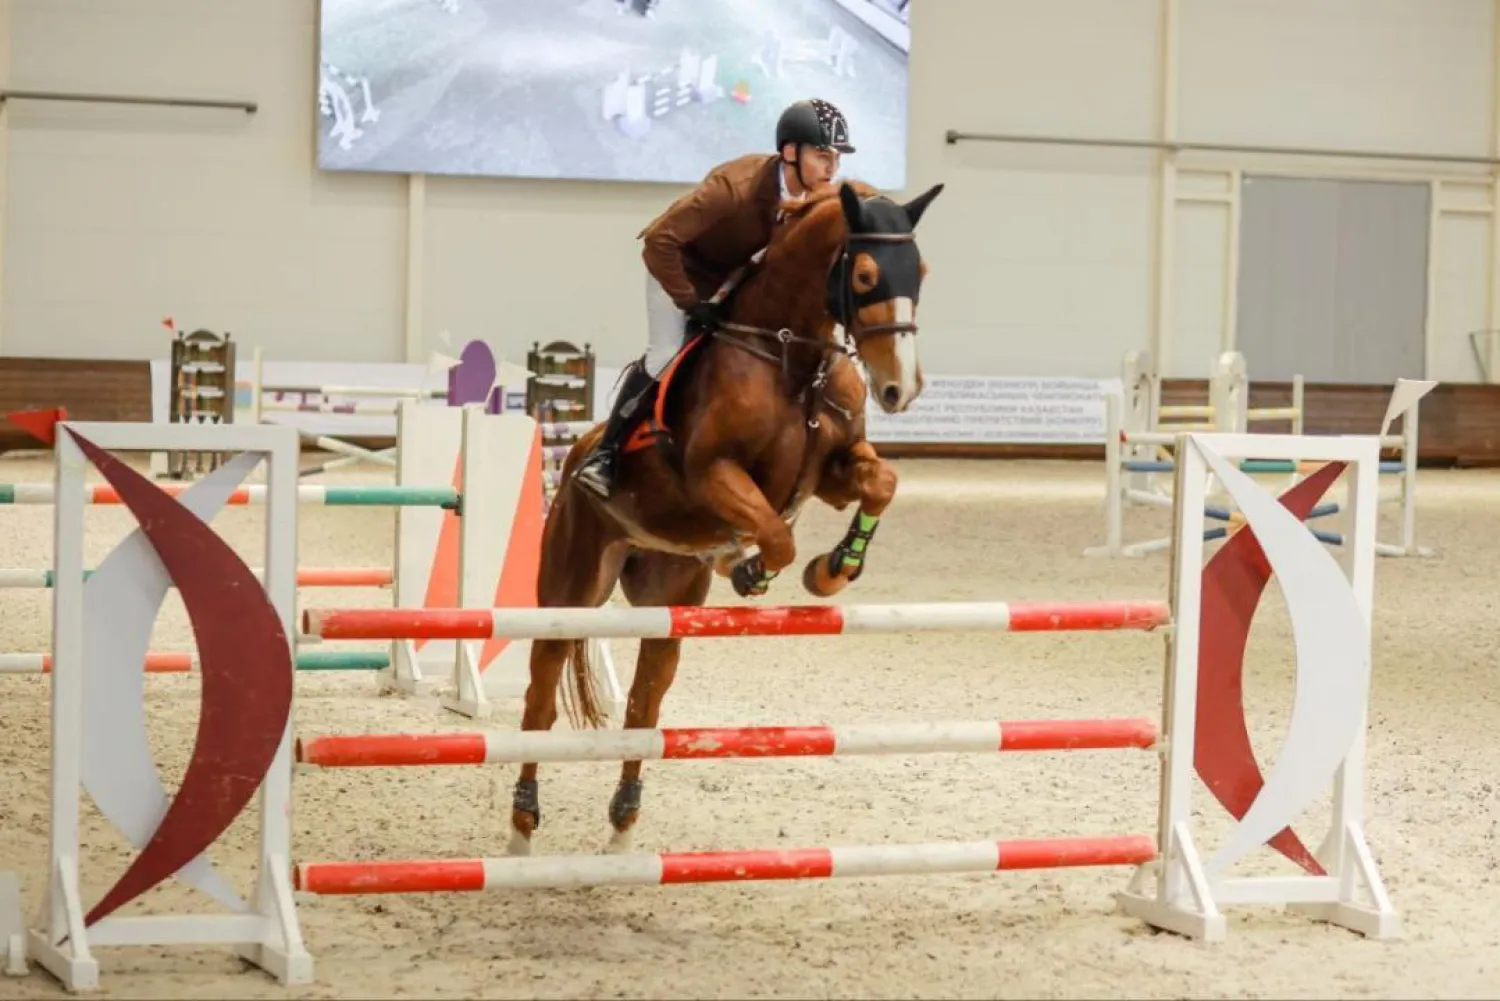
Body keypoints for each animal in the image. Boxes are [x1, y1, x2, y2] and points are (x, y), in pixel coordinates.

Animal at [510, 177, 942, 852]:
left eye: (919, 271)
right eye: (866, 274)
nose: (901, 389)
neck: (791, 359)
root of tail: (576, 448)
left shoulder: (832, 472)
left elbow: (880, 484)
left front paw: (834, 569)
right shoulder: (714, 475)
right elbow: (776, 535)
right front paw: (753, 568)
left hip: (667, 604)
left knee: (644, 706)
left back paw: (623, 827)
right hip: (570, 588)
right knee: (540, 698)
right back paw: (523, 827)